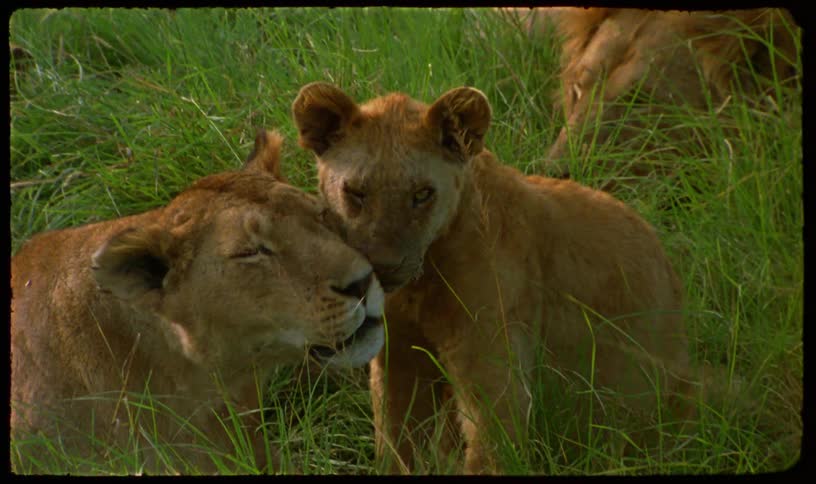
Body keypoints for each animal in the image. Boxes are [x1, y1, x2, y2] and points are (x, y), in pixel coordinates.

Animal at [291, 82, 694, 474]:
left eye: (422, 194)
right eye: (355, 193)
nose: (384, 266)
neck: (418, 288)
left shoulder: (492, 367)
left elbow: (491, 449)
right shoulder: (398, 359)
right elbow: (396, 444)